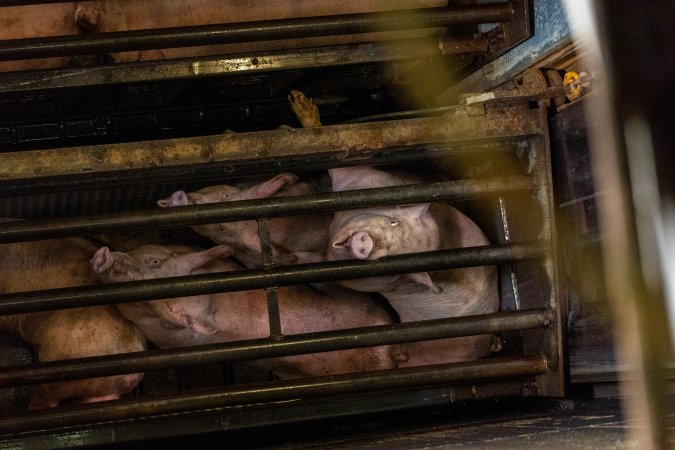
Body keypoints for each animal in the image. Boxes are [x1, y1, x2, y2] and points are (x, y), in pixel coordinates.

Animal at [158, 174, 332, 268]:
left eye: (227, 195)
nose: (177, 197)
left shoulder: (242, 197)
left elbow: (259, 190)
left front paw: (289, 177)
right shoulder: (239, 244)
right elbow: (255, 246)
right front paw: (283, 257)